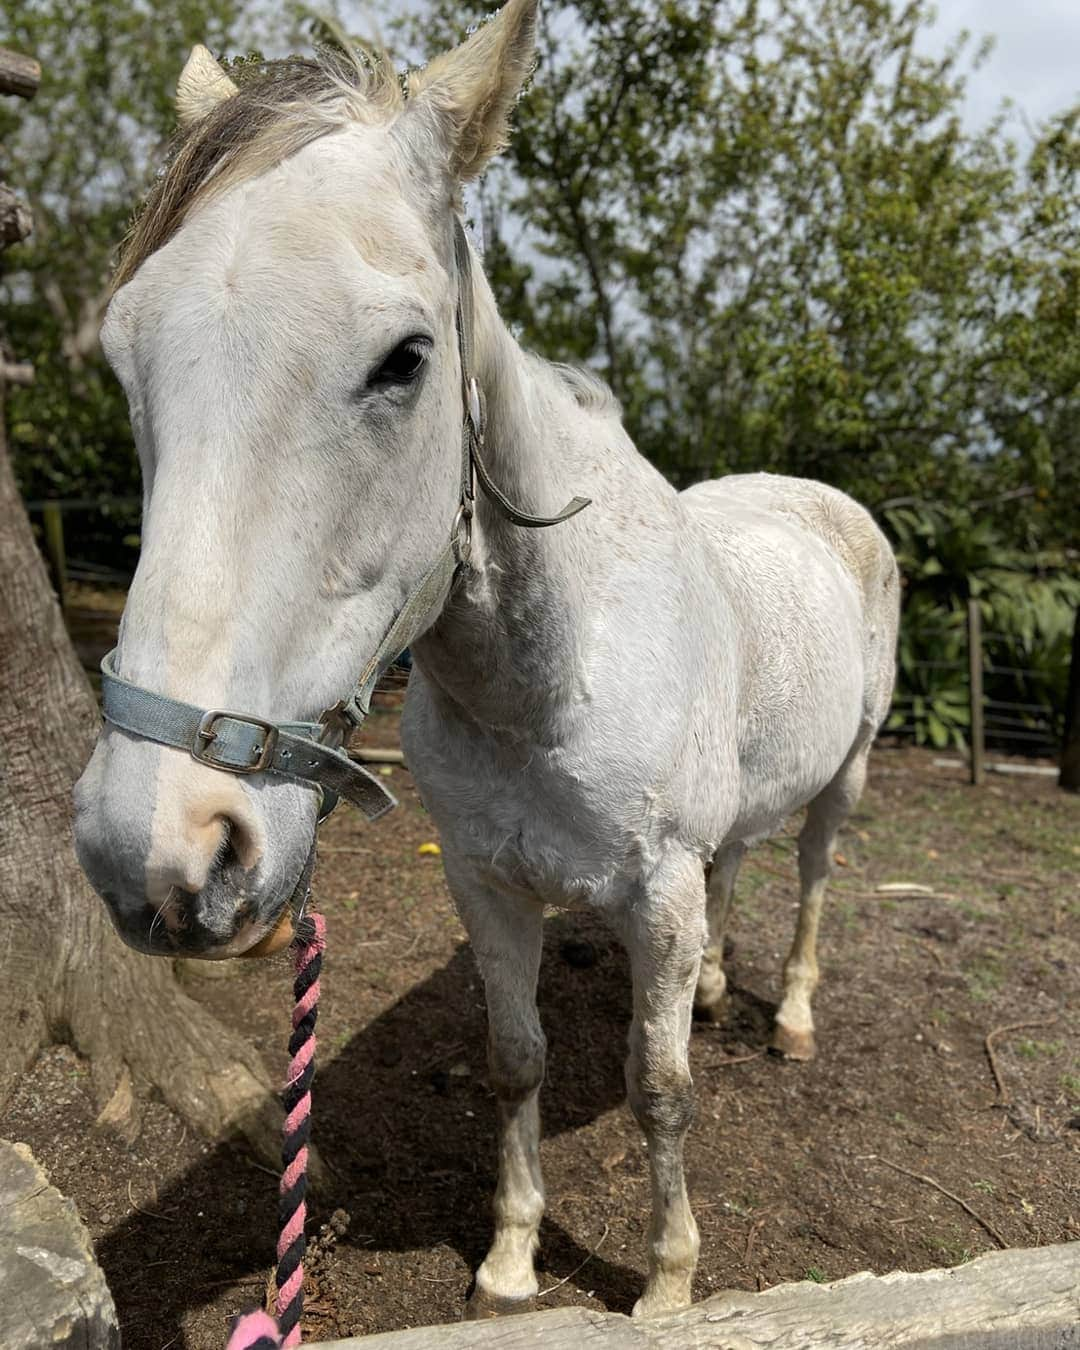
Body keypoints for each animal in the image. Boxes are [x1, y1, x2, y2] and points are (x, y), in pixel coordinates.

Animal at [75, 0, 896, 1323]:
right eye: (127, 354)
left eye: (405, 359)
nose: (159, 848)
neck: (548, 681)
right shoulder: (488, 884)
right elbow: (516, 1062)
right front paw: (511, 1263)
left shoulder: (653, 896)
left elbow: (660, 1088)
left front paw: (667, 1281)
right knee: (739, 872)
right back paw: (721, 989)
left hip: (849, 776)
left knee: (816, 878)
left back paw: (792, 1022)